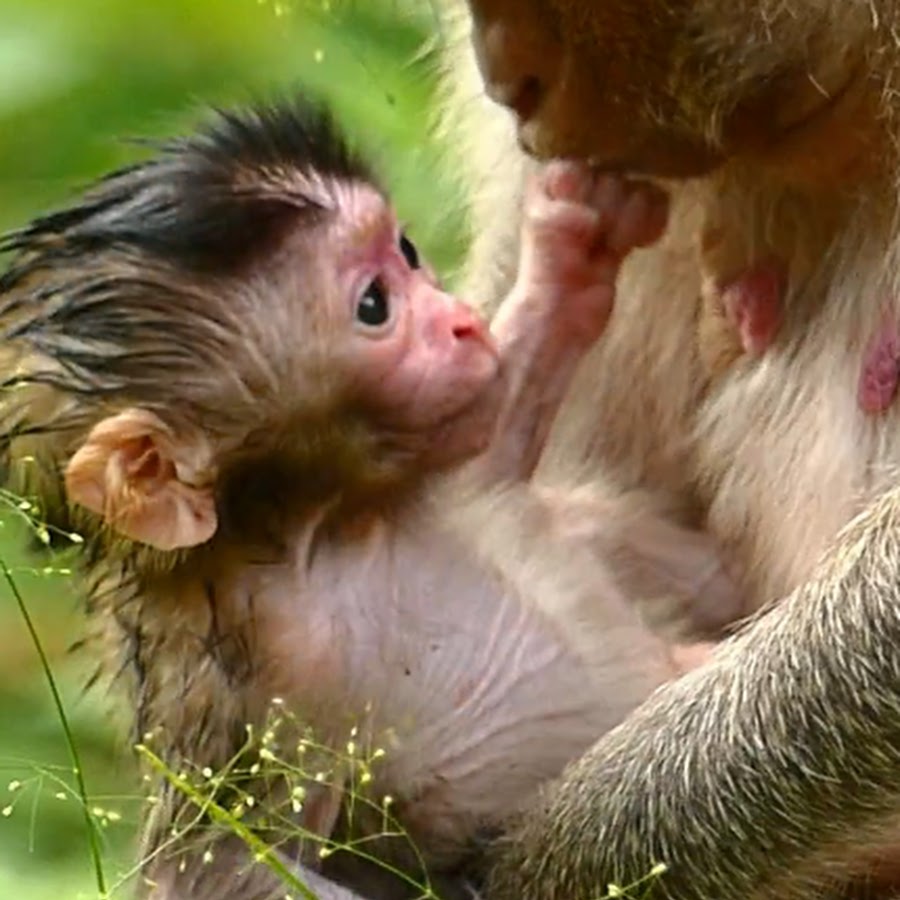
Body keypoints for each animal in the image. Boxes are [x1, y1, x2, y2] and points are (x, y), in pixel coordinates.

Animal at [0, 96, 735, 899]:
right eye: (374, 305)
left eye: (407, 253)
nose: (461, 322)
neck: (340, 529)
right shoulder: (264, 673)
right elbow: (219, 871)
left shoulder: (442, 471)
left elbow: (500, 433)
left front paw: (572, 242)